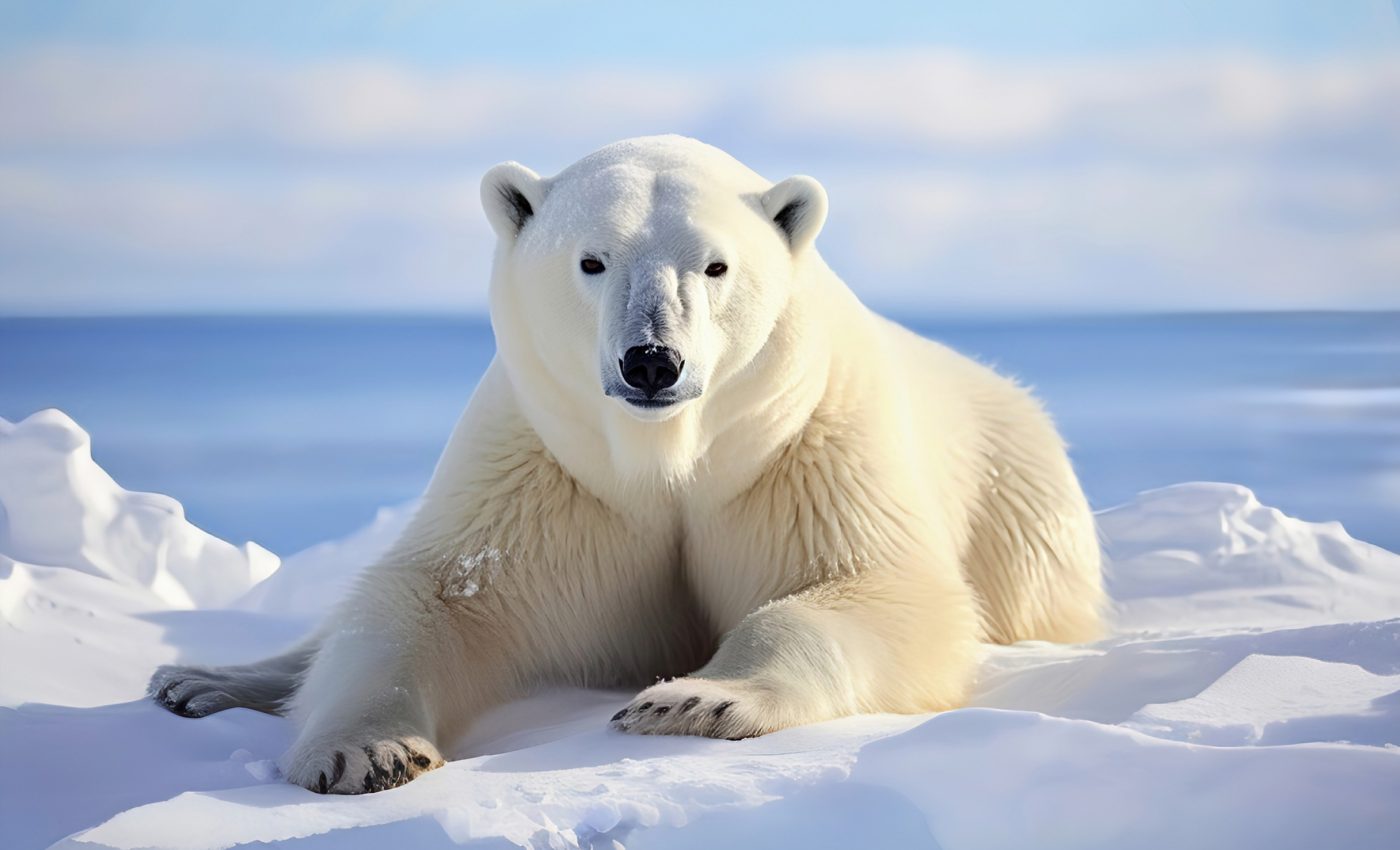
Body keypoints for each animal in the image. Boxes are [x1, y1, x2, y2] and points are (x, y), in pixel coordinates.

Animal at [149, 135, 1104, 794]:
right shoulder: (544, 470)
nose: (652, 361)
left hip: (1022, 507)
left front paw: (694, 699)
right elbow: (438, 596)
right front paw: (367, 752)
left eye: (716, 265)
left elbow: (874, 589)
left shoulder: (807, 453)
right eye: (592, 260)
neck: (668, 458)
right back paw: (200, 680)